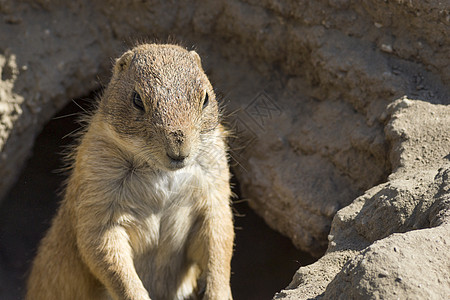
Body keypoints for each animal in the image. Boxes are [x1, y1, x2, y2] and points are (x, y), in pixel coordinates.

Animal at [25, 43, 236, 300]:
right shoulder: (98, 188)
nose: (179, 150)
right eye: (137, 100)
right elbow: (106, 253)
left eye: (205, 98)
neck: (161, 172)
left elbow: (219, 240)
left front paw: (218, 292)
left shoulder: (213, 190)